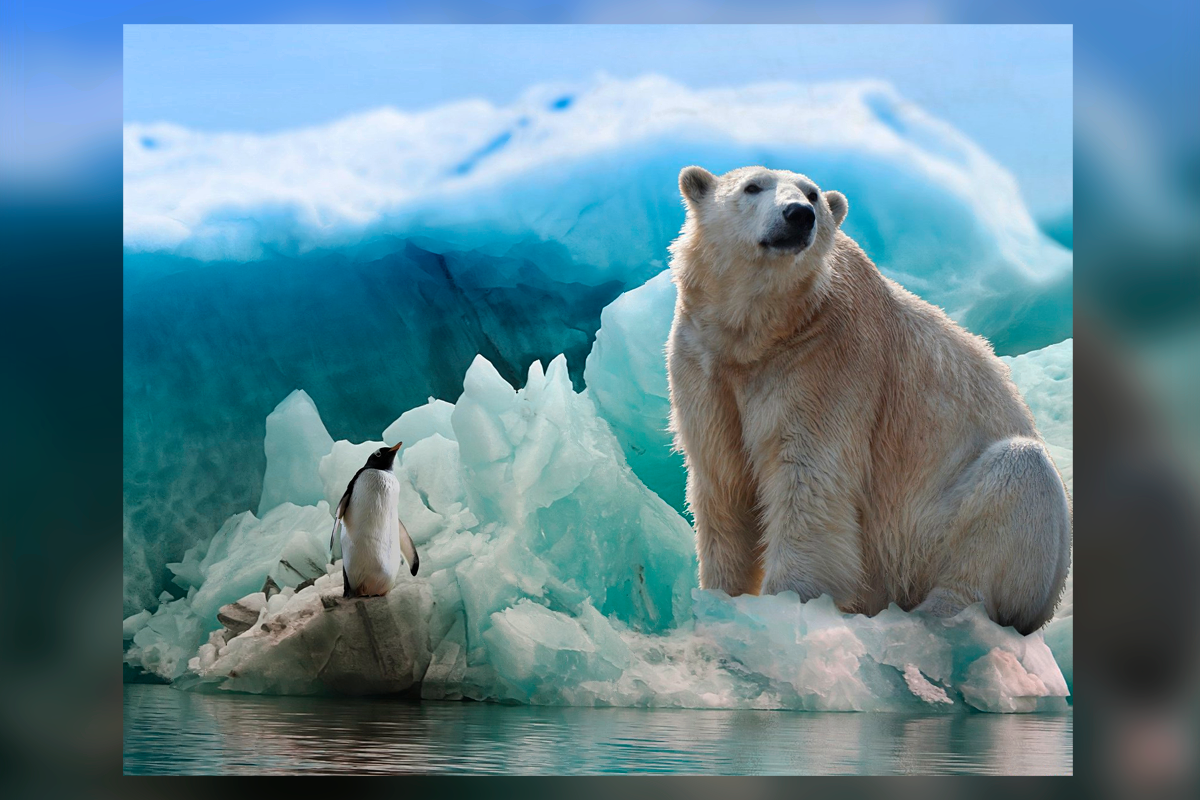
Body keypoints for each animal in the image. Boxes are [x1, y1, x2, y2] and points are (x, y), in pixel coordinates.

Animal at [666, 165, 1071, 634]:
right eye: (752, 187)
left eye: (813, 194)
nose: (798, 215)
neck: (763, 331)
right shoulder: (704, 362)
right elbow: (722, 478)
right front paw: (720, 598)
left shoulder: (826, 358)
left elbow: (807, 478)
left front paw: (786, 603)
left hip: (938, 532)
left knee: (1018, 480)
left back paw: (939, 613)